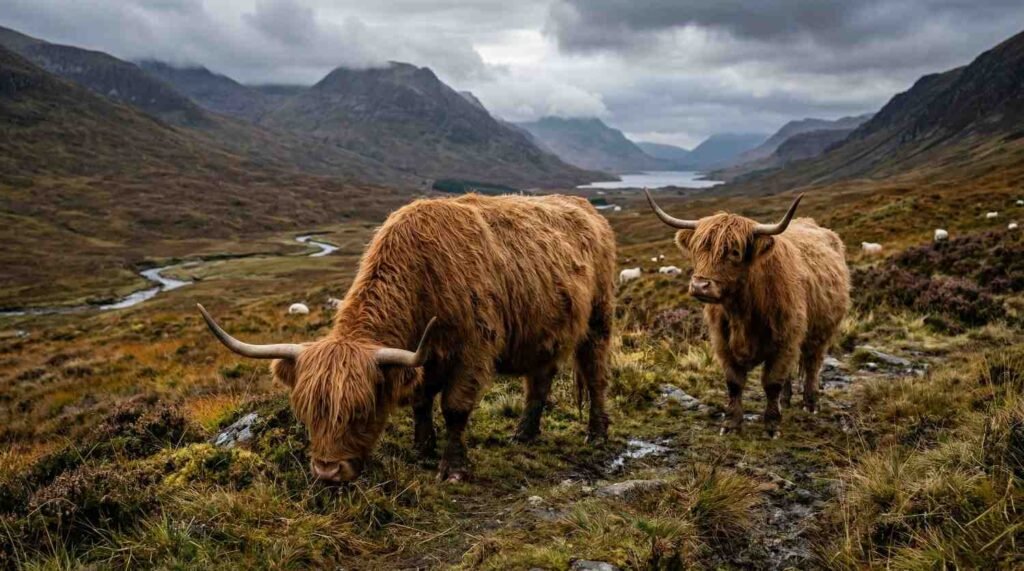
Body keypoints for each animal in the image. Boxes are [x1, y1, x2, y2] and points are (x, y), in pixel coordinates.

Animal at [198, 194, 616, 482]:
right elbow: (420, 400)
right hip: (542, 333)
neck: (424, 277)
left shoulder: (474, 350)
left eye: (361, 409)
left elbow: (454, 407)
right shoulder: (422, 356)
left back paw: (596, 434)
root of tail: (586, 207)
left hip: (598, 319)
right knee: (539, 381)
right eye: (308, 411)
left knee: (596, 374)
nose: (327, 472)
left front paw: (453, 468)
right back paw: (524, 434)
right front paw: (422, 447)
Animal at [644, 190, 850, 437]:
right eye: (698, 249)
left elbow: (772, 382)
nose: (700, 285)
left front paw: (771, 425)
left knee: (812, 365)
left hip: (821, 332)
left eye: (734, 252)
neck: (742, 312)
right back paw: (787, 401)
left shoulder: (786, 340)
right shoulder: (722, 342)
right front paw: (731, 424)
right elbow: (734, 383)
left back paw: (810, 404)